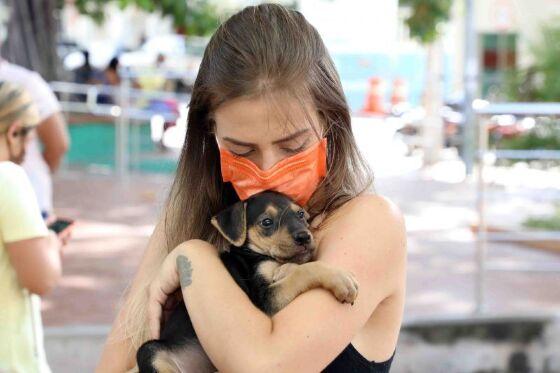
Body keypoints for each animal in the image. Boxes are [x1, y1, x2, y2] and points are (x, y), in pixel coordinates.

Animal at [138, 190, 360, 370]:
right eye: (266, 222)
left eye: (301, 215)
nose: (304, 237)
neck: (256, 253)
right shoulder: (263, 301)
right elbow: (304, 271)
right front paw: (341, 279)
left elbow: (296, 267)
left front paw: (285, 269)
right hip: (150, 351)